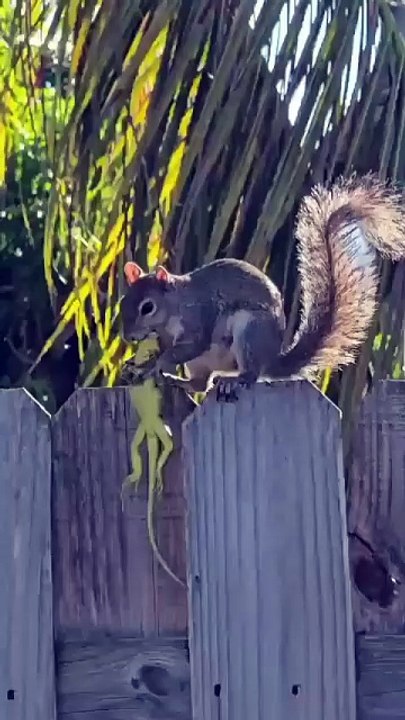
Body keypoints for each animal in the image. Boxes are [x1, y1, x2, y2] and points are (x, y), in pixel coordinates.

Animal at [120, 174, 405, 400]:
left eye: (147, 307)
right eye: (123, 302)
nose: (127, 336)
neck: (174, 306)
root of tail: (272, 360)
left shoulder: (198, 317)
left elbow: (190, 346)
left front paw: (155, 365)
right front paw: (141, 366)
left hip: (250, 332)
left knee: (250, 375)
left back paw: (233, 380)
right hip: (202, 363)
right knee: (200, 384)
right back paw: (177, 381)